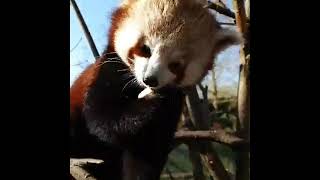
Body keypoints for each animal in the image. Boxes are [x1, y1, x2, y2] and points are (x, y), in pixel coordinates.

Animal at [69, 0, 240, 179]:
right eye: (146, 49)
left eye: (176, 64)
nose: (150, 79)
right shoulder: (107, 73)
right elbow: (103, 119)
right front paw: (151, 102)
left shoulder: (172, 107)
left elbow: (149, 149)